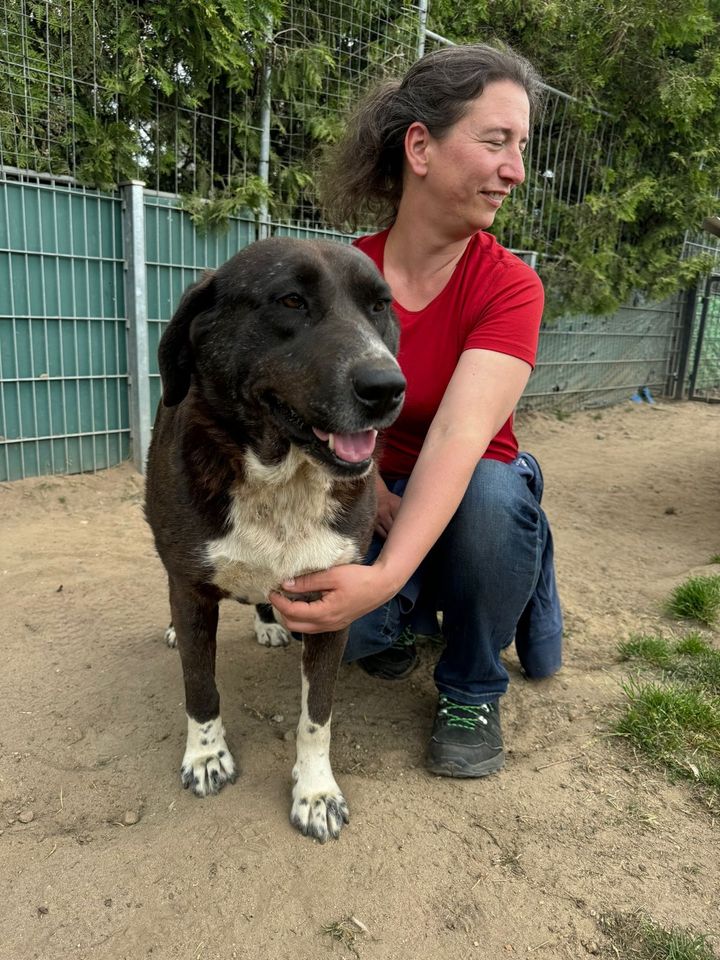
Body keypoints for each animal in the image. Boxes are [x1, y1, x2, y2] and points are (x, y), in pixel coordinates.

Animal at [143, 234, 408, 840]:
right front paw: (205, 756)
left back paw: (268, 622)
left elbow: (318, 717)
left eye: (379, 306)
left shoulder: (332, 600)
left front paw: (316, 791)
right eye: (290, 301)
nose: (387, 387)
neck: (280, 475)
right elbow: (200, 686)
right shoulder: (191, 587)